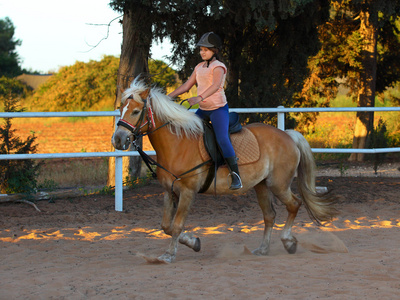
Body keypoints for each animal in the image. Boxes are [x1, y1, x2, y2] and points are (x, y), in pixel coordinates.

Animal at [112, 78, 338, 262]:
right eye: (121, 109)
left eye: (135, 111)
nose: (118, 140)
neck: (178, 144)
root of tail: (288, 135)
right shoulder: (169, 191)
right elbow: (166, 226)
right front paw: (193, 242)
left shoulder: (187, 192)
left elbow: (176, 225)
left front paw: (169, 255)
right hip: (261, 186)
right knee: (269, 215)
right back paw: (263, 249)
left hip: (279, 185)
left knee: (294, 205)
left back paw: (288, 242)